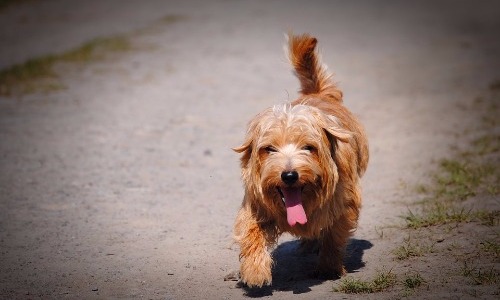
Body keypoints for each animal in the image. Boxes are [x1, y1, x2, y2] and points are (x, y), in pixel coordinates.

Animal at [232, 33, 370, 288]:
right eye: (269, 149)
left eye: (309, 147)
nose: (289, 175)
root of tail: (317, 93)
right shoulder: (255, 204)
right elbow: (251, 232)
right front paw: (255, 270)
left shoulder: (344, 205)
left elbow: (334, 235)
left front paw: (329, 266)